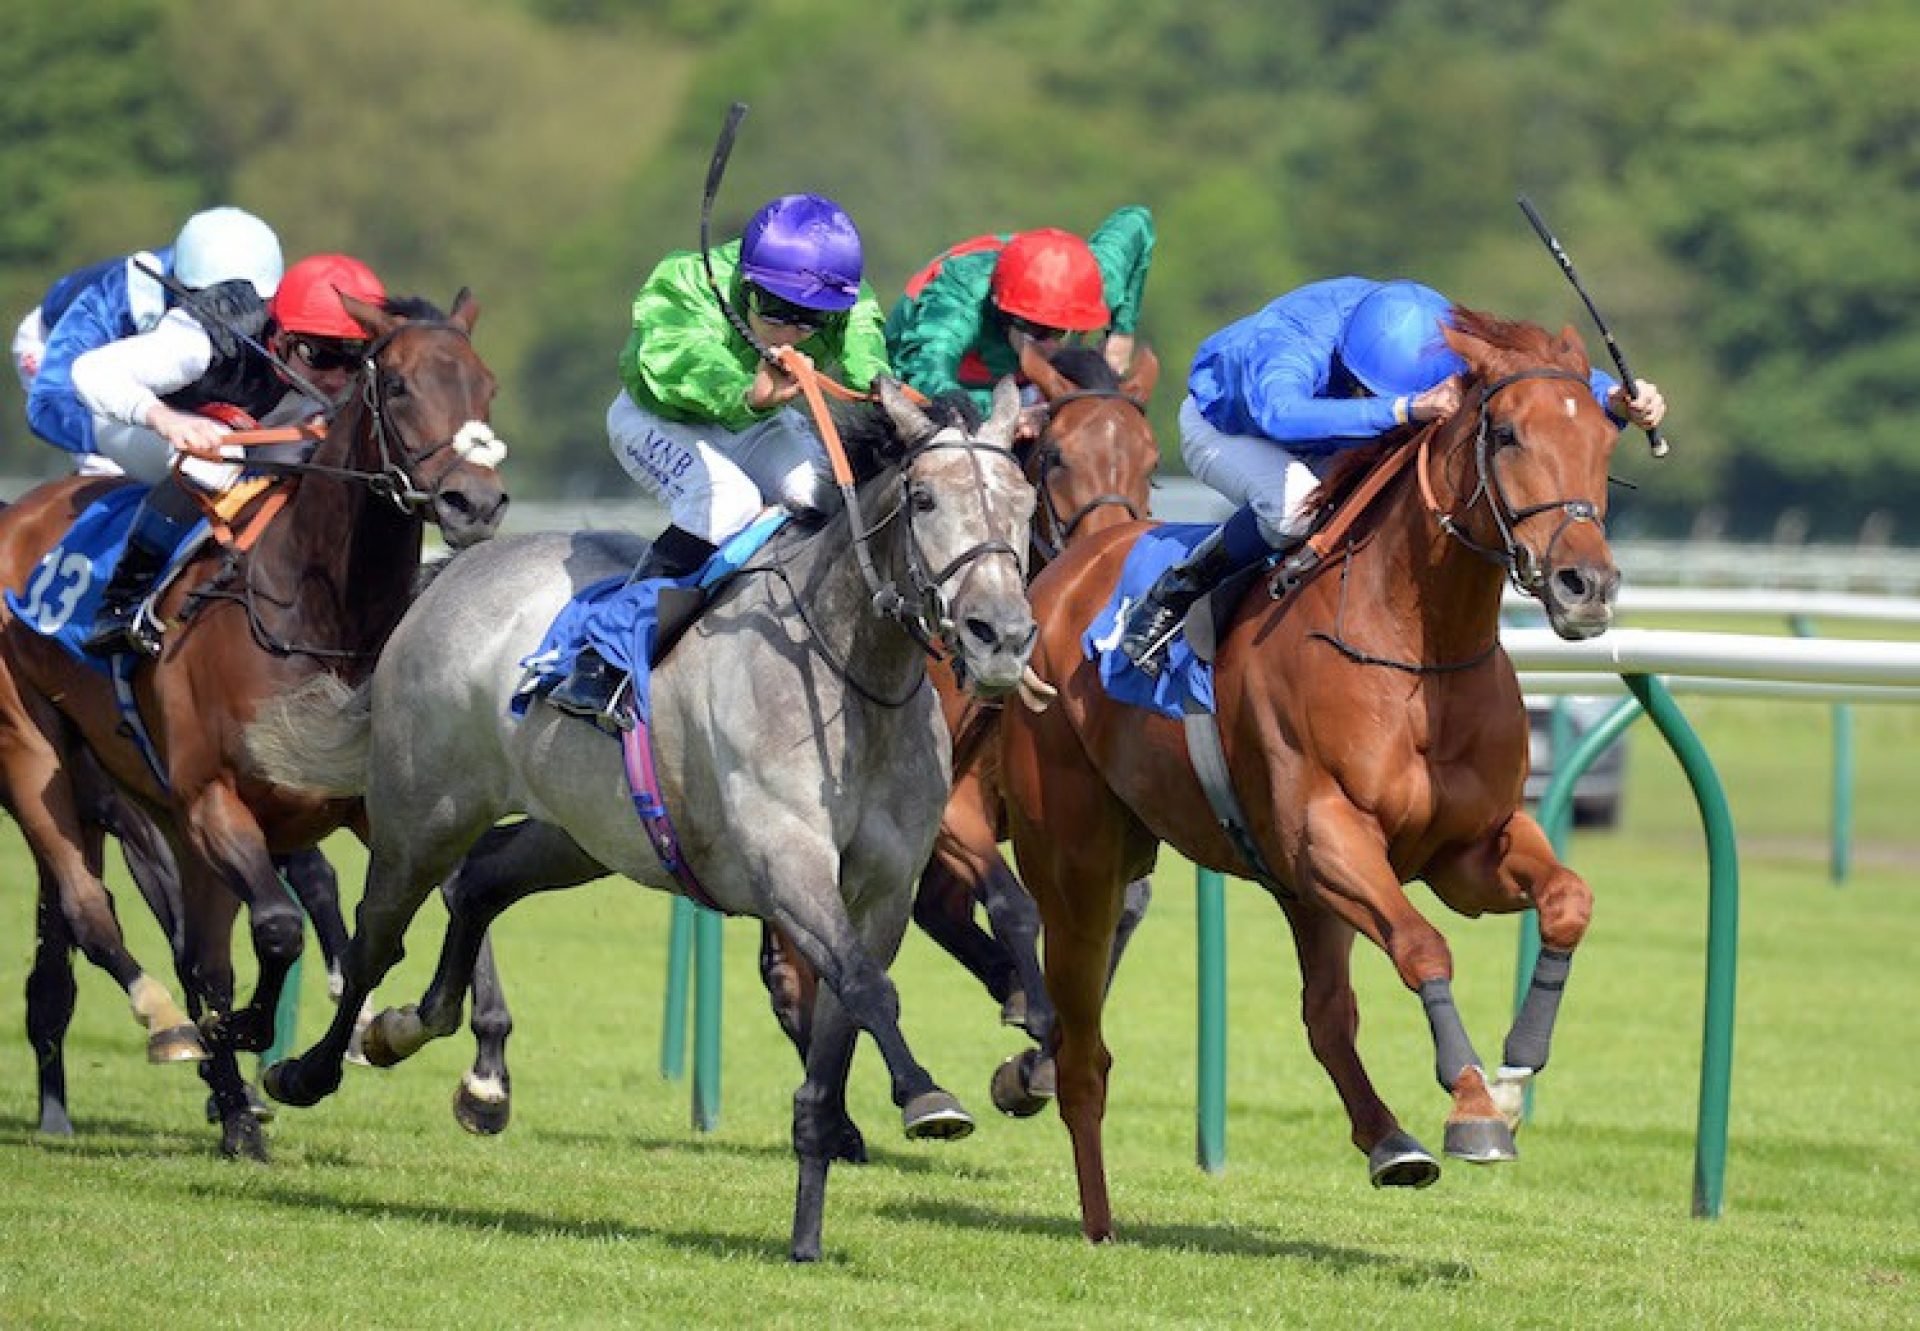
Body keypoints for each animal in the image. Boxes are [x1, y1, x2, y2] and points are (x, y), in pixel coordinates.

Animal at [0, 290, 506, 1152]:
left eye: (486, 385)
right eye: (398, 385)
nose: (474, 501)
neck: (320, 614)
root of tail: (20, 510)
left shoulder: (371, 802)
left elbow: (445, 896)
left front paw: (481, 1072)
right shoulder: (215, 799)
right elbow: (277, 928)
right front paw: (251, 1037)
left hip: (159, 811)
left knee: (196, 952)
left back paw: (234, 1108)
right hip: (39, 760)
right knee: (96, 915)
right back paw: (171, 1026)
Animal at [251, 378, 1036, 1259]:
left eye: (1025, 501)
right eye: (926, 498)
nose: (1002, 636)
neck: (847, 670)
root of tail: (456, 571)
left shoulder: (883, 892)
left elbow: (839, 1031)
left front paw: (807, 1228)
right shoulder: (789, 863)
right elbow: (871, 987)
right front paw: (926, 1095)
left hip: (578, 834)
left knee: (479, 884)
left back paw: (445, 1047)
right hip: (420, 814)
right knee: (375, 937)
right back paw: (309, 1067)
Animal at [1006, 309, 1620, 1236]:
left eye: (1607, 438)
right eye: (1509, 432)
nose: (1587, 583)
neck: (1414, 645)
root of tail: (1061, 574)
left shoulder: (1466, 849)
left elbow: (1569, 900)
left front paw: (1515, 1073)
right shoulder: (1326, 831)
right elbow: (1423, 944)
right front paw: (1474, 1102)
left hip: (1289, 890)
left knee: (1326, 1015)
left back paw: (1389, 1140)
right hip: (1080, 863)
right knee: (1084, 1050)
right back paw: (1097, 1214)